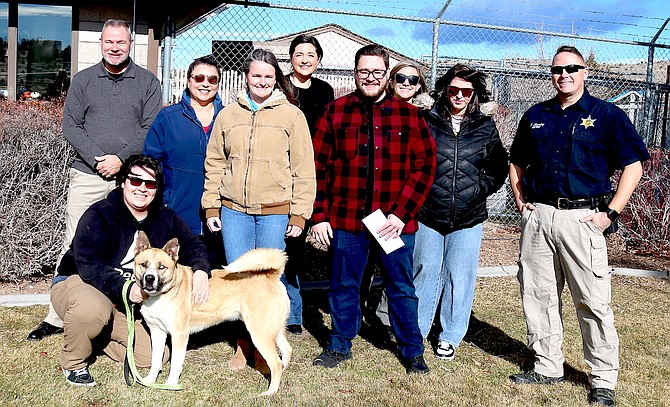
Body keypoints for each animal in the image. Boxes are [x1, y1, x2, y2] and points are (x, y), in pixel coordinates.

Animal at [135, 233, 294, 398]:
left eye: (161, 267)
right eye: (143, 264)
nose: (149, 278)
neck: (166, 292)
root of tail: (272, 276)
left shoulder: (179, 335)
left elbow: (175, 363)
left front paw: (170, 385)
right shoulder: (157, 332)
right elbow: (155, 360)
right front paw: (150, 380)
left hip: (260, 334)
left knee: (276, 363)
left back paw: (271, 391)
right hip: (272, 330)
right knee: (287, 351)